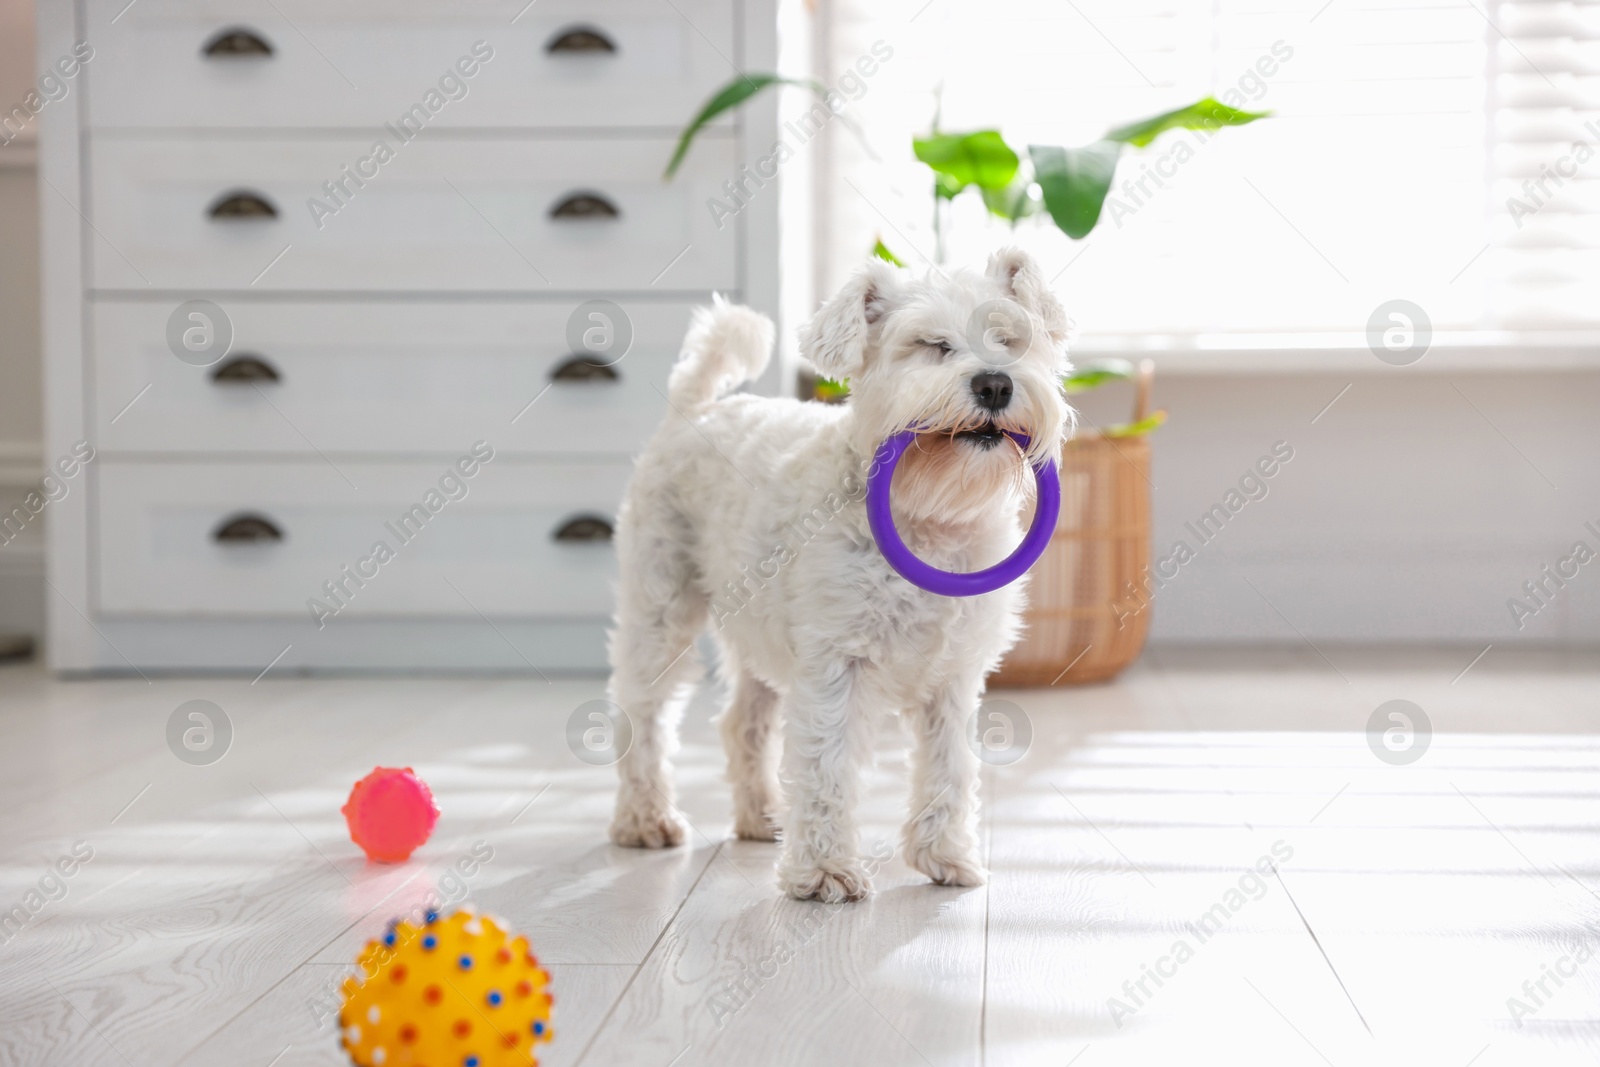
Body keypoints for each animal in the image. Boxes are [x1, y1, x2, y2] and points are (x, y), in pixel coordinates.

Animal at [604, 247, 1068, 902]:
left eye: (1010, 340)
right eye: (932, 345)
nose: (995, 383)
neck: (930, 518)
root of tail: (695, 409)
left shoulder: (955, 677)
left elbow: (949, 766)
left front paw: (945, 856)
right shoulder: (835, 666)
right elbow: (827, 765)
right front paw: (824, 872)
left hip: (759, 632)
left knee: (742, 722)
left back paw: (762, 817)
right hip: (660, 612)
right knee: (643, 714)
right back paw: (645, 820)